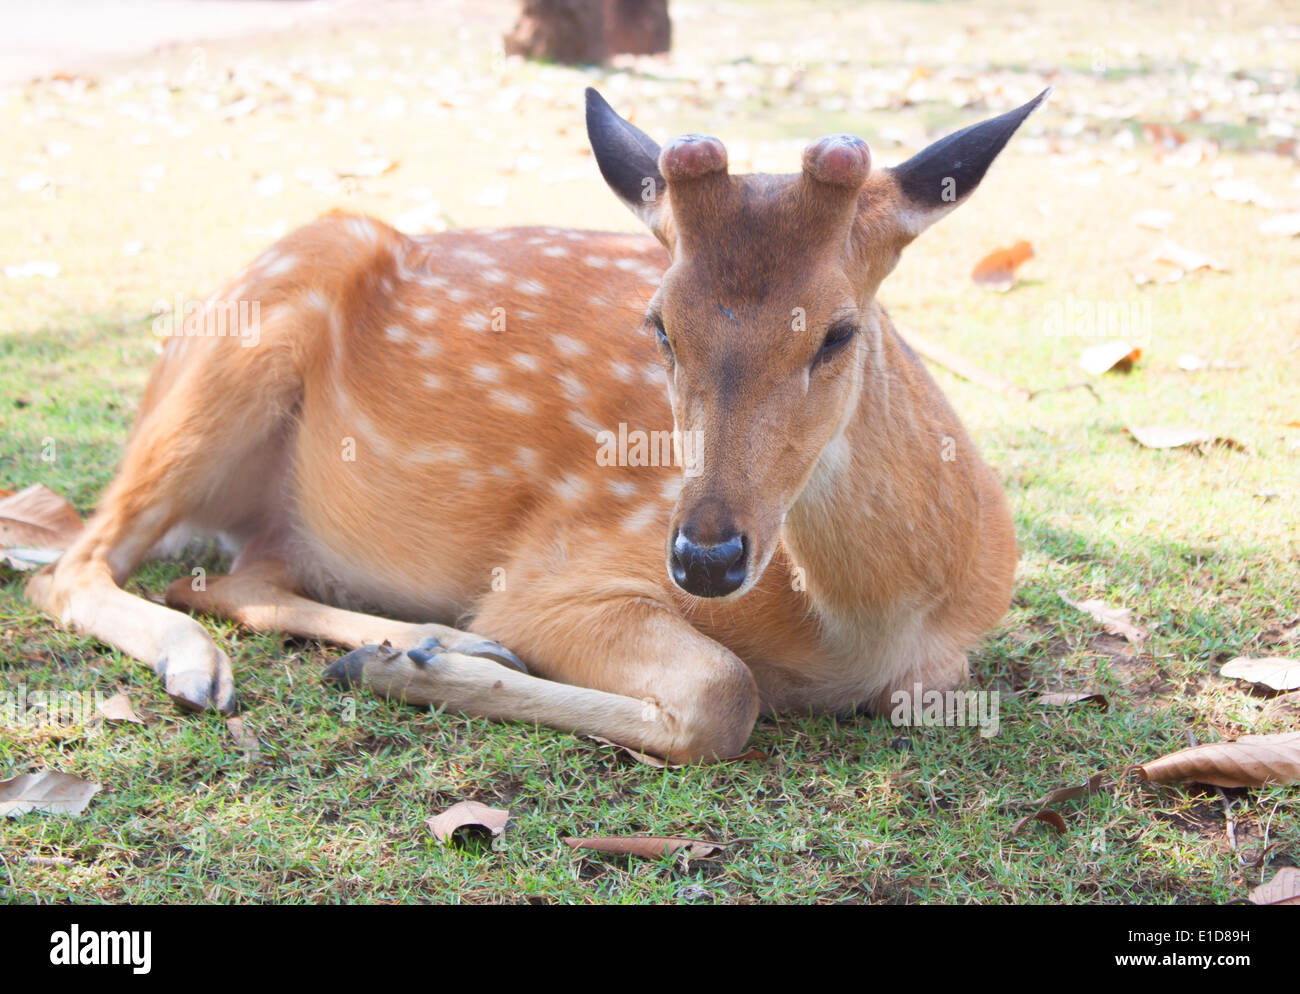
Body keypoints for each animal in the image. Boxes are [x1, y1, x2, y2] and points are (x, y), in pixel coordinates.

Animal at [25, 87, 1043, 762]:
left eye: (838, 330)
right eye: (658, 323)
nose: (706, 558)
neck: (867, 630)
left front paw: (407, 660)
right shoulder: (562, 570)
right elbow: (725, 694)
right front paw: (408, 672)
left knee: (231, 578)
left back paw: (409, 641)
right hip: (230, 354)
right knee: (74, 564)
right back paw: (217, 664)